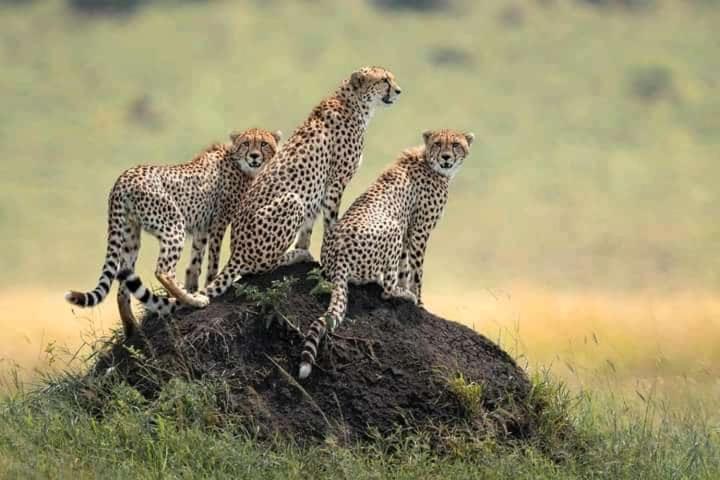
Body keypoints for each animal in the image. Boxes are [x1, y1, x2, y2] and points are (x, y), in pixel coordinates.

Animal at [64, 129, 282, 336]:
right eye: (246, 143)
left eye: (264, 144)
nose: (254, 156)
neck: (238, 162)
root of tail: (124, 178)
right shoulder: (218, 223)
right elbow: (212, 262)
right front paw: (205, 287)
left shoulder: (201, 228)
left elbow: (194, 264)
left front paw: (194, 286)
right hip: (173, 225)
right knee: (163, 270)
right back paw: (193, 301)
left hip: (130, 236)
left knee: (123, 282)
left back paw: (132, 329)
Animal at [115, 67, 402, 316]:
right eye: (384, 80)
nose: (399, 90)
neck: (352, 102)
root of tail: (237, 253)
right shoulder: (334, 184)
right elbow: (330, 222)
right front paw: (321, 254)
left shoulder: (317, 190)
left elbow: (309, 227)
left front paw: (312, 250)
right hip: (291, 201)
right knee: (261, 266)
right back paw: (293, 255)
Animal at [296, 127, 476, 378]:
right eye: (439, 144)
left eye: (456, 144)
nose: (446, 157)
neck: (429, 163)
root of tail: (338, 258)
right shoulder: (418, 232)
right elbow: (417, 272)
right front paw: (419, 301)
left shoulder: (408, 234)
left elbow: (403, 268)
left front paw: (406, 287)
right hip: (393, 226)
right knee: (386, 292)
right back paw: (401, 294)